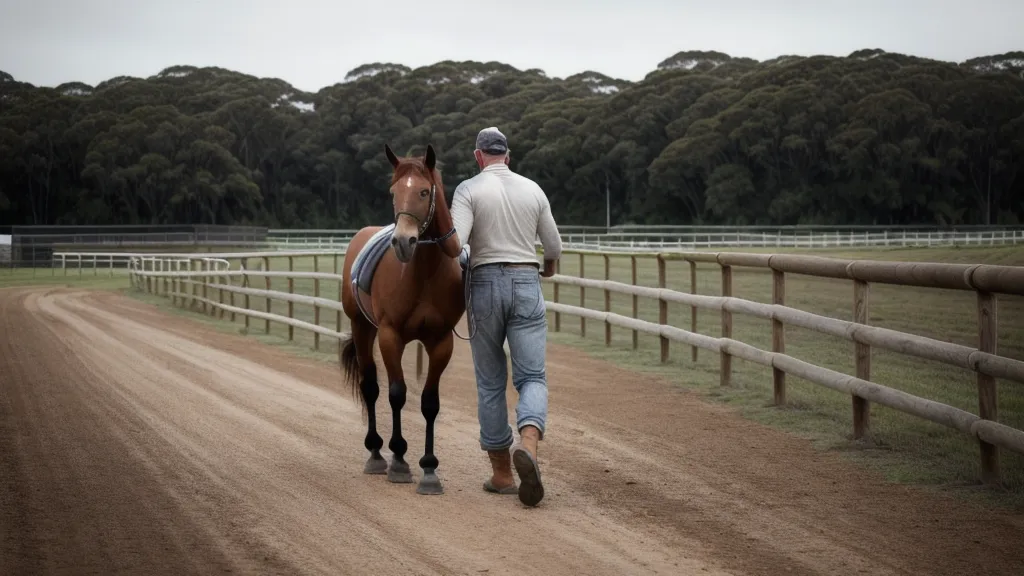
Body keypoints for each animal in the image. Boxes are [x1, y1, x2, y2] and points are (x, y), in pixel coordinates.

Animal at [337, 143, 465, 495]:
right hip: (362, 327)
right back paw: (376, 453)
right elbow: (396, 393)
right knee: (370, 386)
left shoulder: (441, 341)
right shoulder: (390, 335)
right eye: (393, 192)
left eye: (423, 191)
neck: (424, 274)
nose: (403, 241)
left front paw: (430, 468)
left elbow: (430, 402)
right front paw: (399, 459)